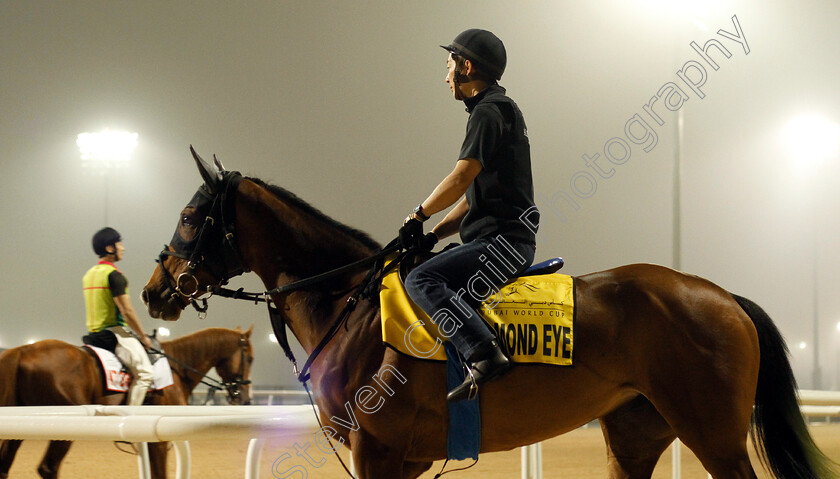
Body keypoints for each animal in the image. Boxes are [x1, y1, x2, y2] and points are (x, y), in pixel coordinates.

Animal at [0, 324, 256, 478]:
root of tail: (21, 351)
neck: (177, 368)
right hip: (62, 430)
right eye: (251, 358)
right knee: (48, 467)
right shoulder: (159, 440)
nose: (245, 399)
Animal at [139, 148, 832, 478]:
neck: (349, 303)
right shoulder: (405, 459)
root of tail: (723, 297)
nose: (154, 290)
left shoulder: (377, 450)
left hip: (713, 434)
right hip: (636, 432)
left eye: (190, 216)